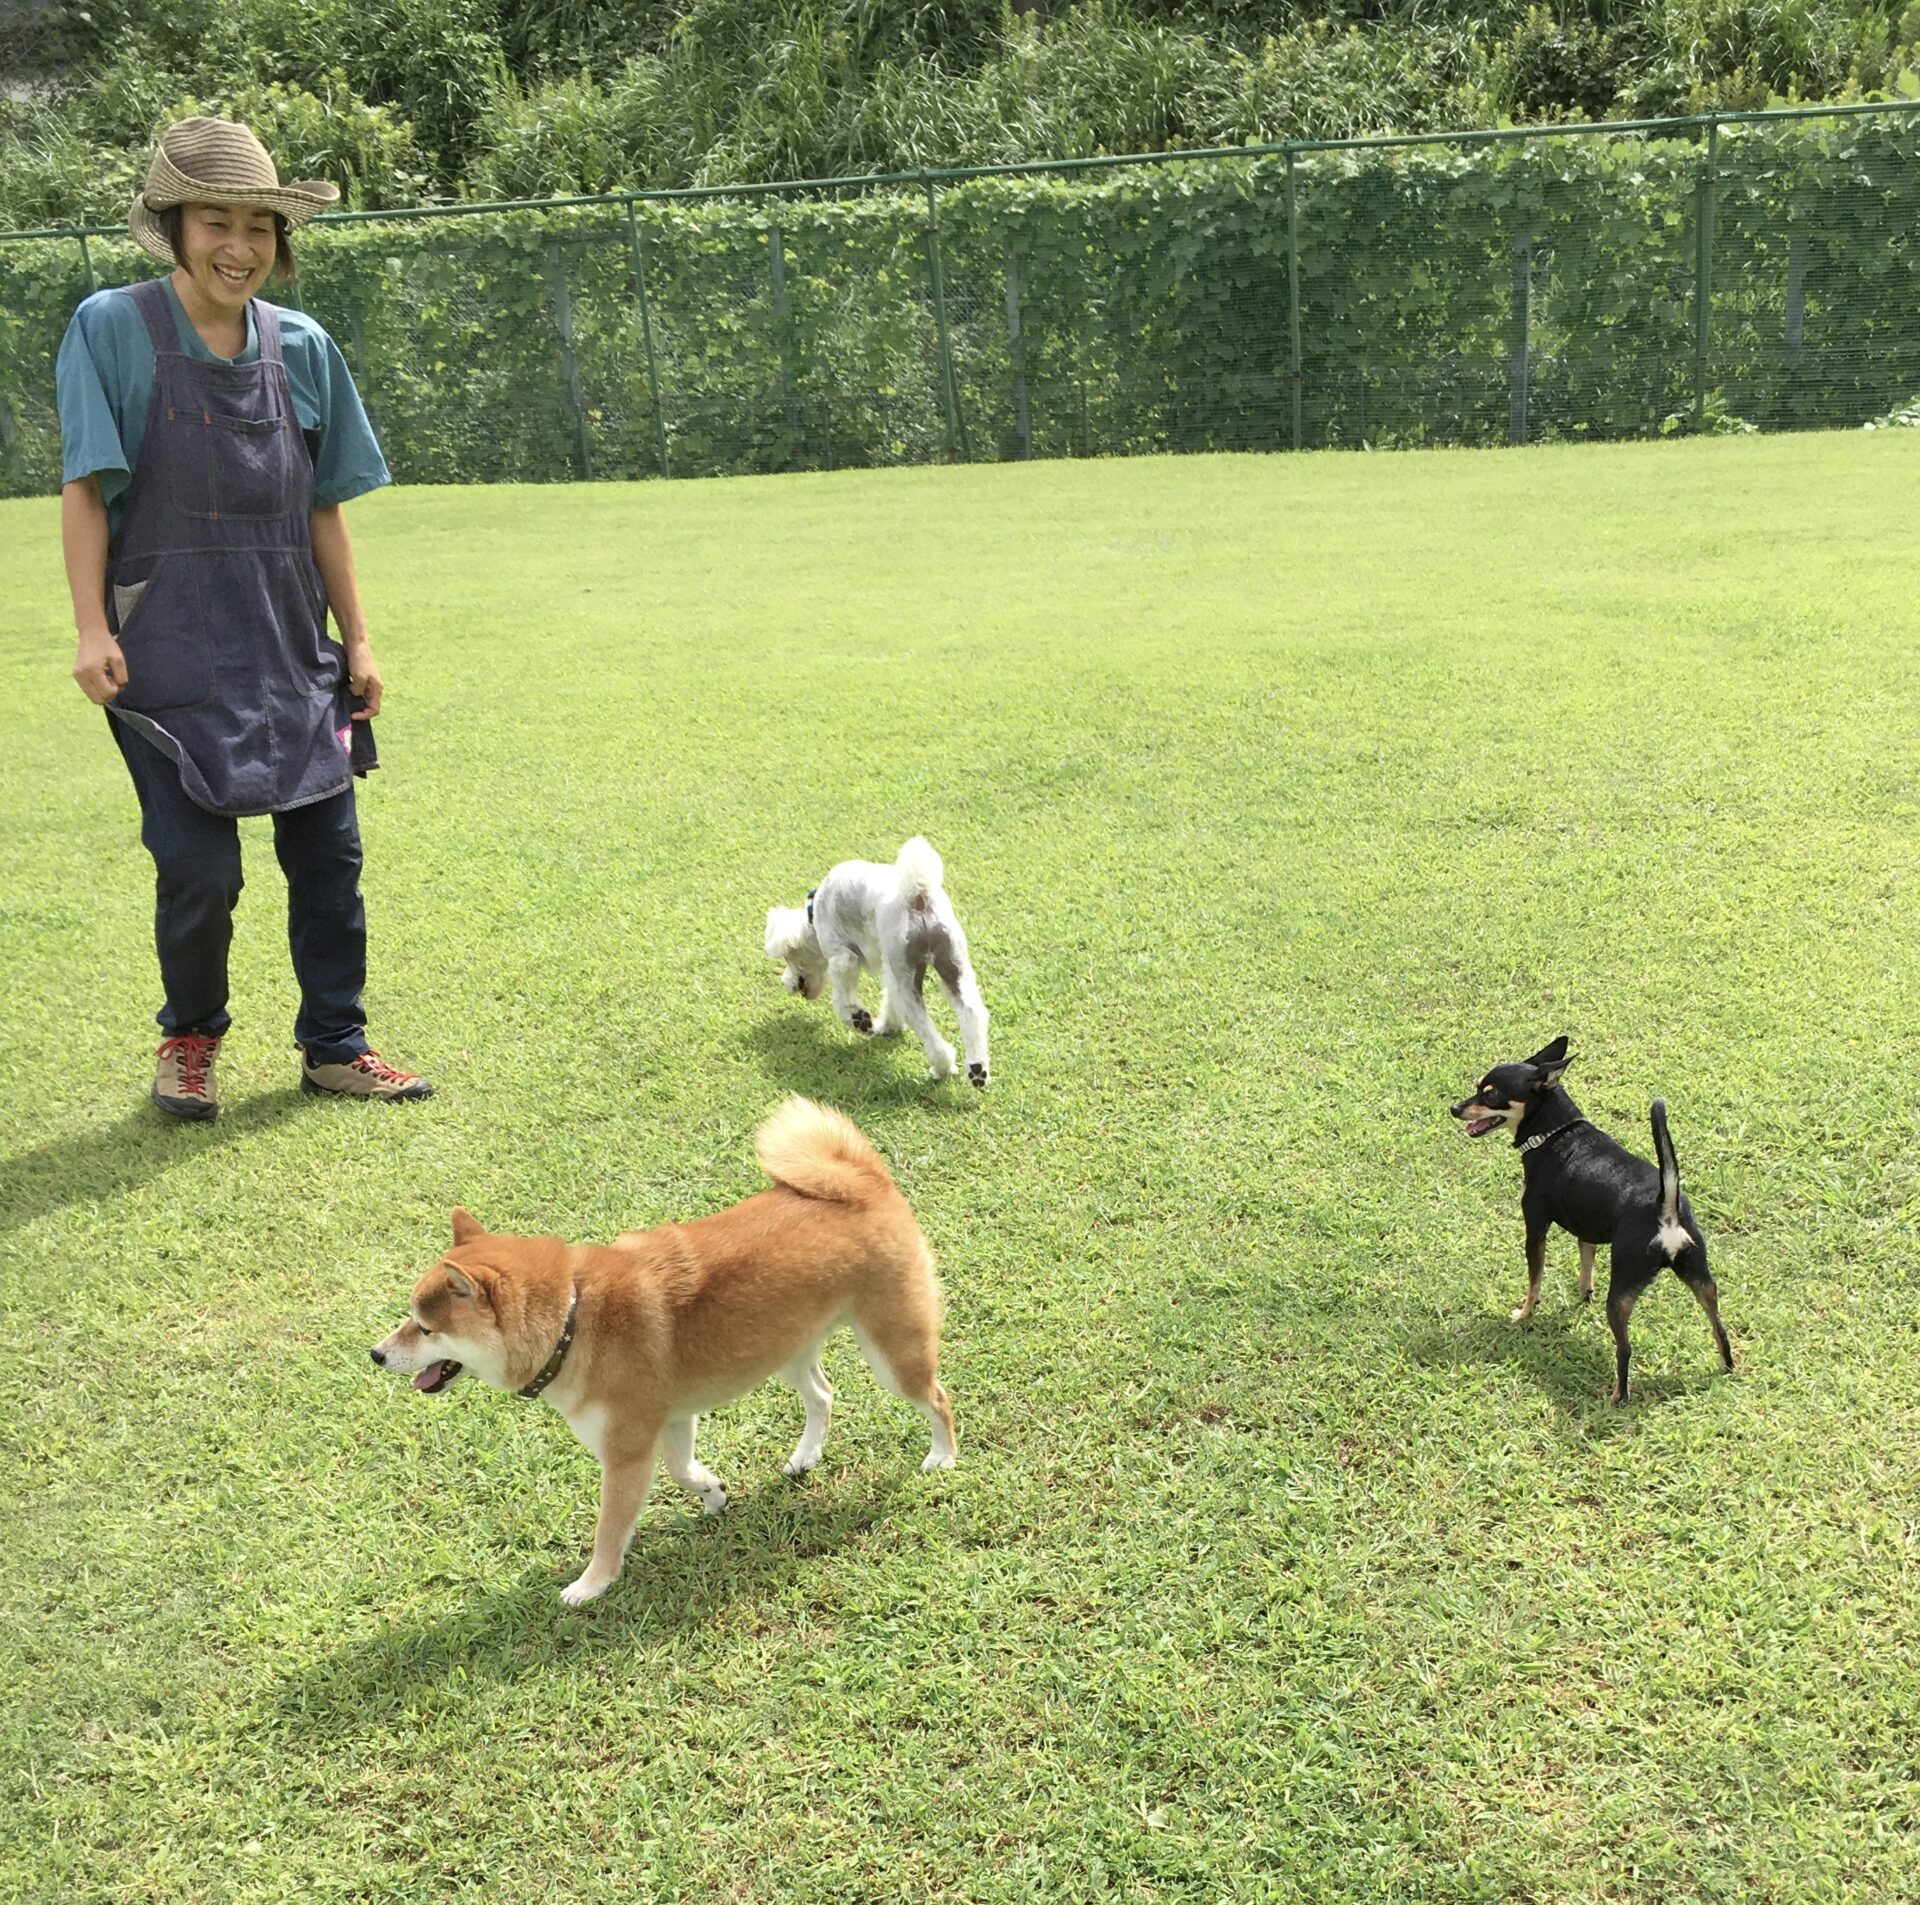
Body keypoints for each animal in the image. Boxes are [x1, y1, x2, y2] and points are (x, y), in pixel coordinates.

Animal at [370, 1097, 956, 1605]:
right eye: (412, 1319)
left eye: (424, 1328)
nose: (375, 1354)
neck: (574, 1320)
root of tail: (865, 1182)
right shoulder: (669, 1418)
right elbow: (682, 1471)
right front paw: (714, 1493)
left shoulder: (625, 1451)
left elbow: (611, 1526)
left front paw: (591, 1584)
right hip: (785, 1346)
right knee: (823, 1394)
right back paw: (805, 1455)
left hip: (892, 1350)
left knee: (937, 1399)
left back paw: (942, 1457)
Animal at [765, 836, 990, 1087]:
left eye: (789, 957)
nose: (788, 985)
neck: (814, 914)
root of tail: (918, 896)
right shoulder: (889, 968)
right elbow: (887, 998)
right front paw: (888, 1026)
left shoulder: (842, 957)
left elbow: (842, 999)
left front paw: (858, 1018)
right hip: (953, 966)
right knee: (972, 1011)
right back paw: (977, 1068)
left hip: (908, 980)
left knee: (924, 1025)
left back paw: (943, 1067)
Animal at [1450, 1035, 1733, 1403]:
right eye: (1477, 1088)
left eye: (1491, 1094)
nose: (1455, 1109)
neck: (1555, 1133)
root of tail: (1665, 1206)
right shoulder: (1587, 1233)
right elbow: (1586, 1268)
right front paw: (1584, 1298)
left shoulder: (1535, 1228)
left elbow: (1534, 1282)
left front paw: (1524, 1314)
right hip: (1701, 1278)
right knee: (1720, 1328)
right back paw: (1727, 1367)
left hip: (1623, 1290)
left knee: (1624, 1349)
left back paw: (1619, 1397)